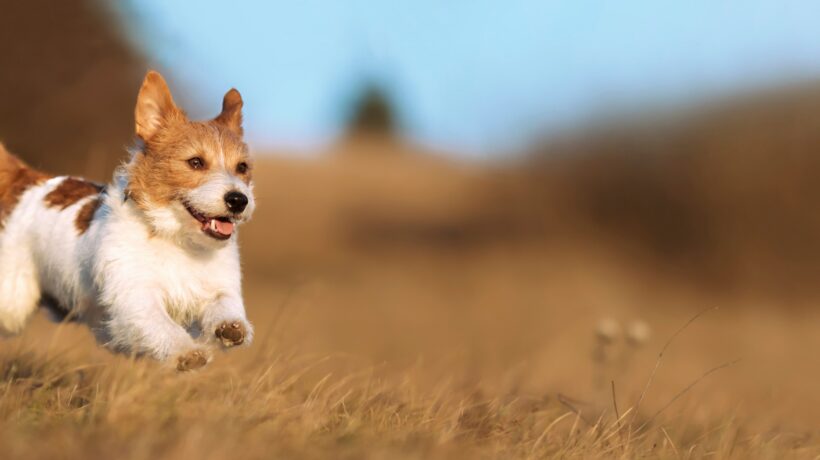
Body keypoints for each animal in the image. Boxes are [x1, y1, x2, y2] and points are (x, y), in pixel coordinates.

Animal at [0, 73, 255, 374]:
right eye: (195, 162)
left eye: (242, 167)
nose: (238, 200)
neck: (177, 239)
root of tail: (30, 179)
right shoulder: (136, 296)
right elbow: (159, 324)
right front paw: (186, 352)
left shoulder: (217, 285)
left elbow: (224, 304)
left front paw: (230, 327)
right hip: (13, 300)